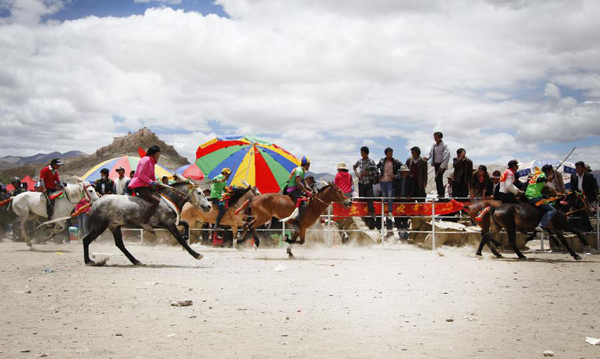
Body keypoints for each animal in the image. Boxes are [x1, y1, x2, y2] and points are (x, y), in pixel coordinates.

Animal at [79, 181, 211, 266]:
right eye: (199, 193)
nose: (209, 206)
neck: (168, 200)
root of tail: (96, 202)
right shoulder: (169, 224)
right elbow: (180, 239)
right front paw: (196, 254)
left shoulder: (169, 223)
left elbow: (186, 224)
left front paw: (186, 236)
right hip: (99, 226)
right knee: (86, 240)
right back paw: (88, 261)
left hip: (114, 226)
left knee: (120, 244)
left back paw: (136, 261)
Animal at [464, 193, 592, 260]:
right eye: (583, 198)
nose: (592, 209)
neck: (558, 208)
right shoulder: (562, 225)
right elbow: (576, 230)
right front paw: (586, 243)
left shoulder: (557, 228)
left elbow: (564, 241)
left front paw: (575, 255)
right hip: (509, 227)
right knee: (509, 241)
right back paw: (520, 255)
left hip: (497, 227)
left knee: (486, 236)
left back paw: (484, 252)